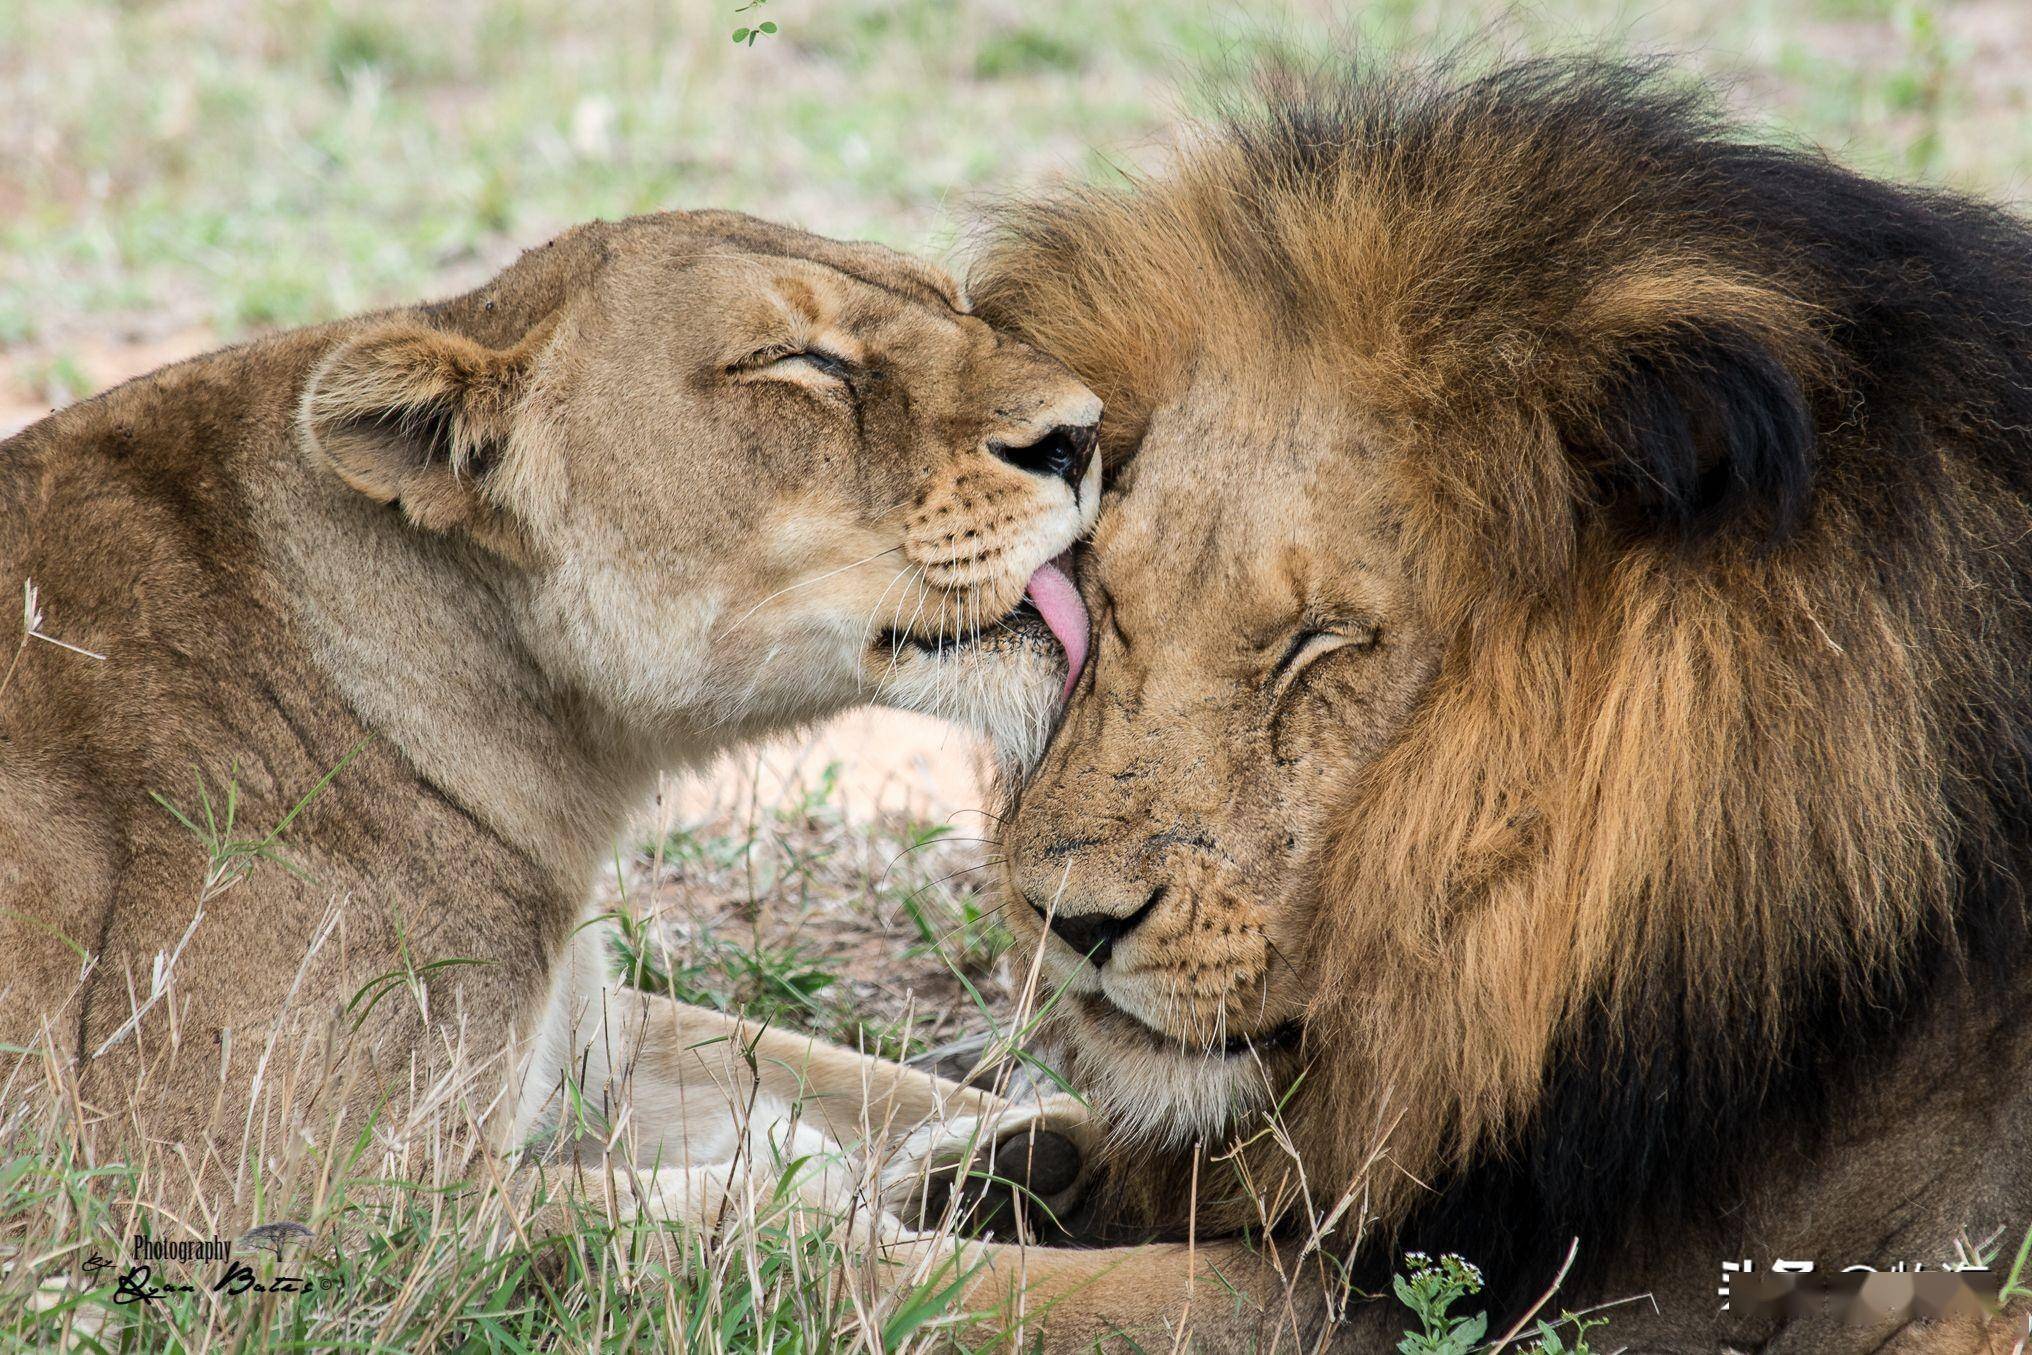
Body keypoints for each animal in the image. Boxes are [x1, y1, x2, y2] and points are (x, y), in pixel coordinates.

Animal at [3, 214, 1113, 1259]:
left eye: (955, 303)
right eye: (801, 362)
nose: (1084, 435)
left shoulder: (596, 1041)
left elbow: (855, 1073)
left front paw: (1023, 1150)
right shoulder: (248, 1194)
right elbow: (800, 1229)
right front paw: (897, 1191)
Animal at [959, 60, 2032, 1348]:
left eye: (1321, 644)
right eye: (1107, 599)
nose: (1066, 919)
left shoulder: (1576, 1302)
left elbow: (1029, 1294)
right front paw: (979, 1166)